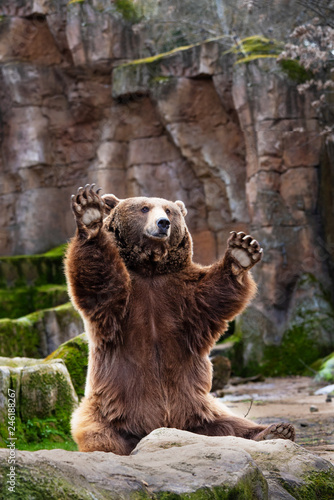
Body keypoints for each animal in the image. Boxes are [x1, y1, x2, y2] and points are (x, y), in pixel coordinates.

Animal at [65, 185, 294, 458]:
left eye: (169, 211)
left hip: (198, 409)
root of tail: (162, 429)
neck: (150, 269)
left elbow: (214, 295)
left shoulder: (183, 295)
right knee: (101, 434)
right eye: (144, 208)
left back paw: (275, 430)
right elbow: (99, 279)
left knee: (231, 424)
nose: (163, 223)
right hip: (111, 409)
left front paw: (241, 253)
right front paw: (89, 214)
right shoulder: (123, 304)